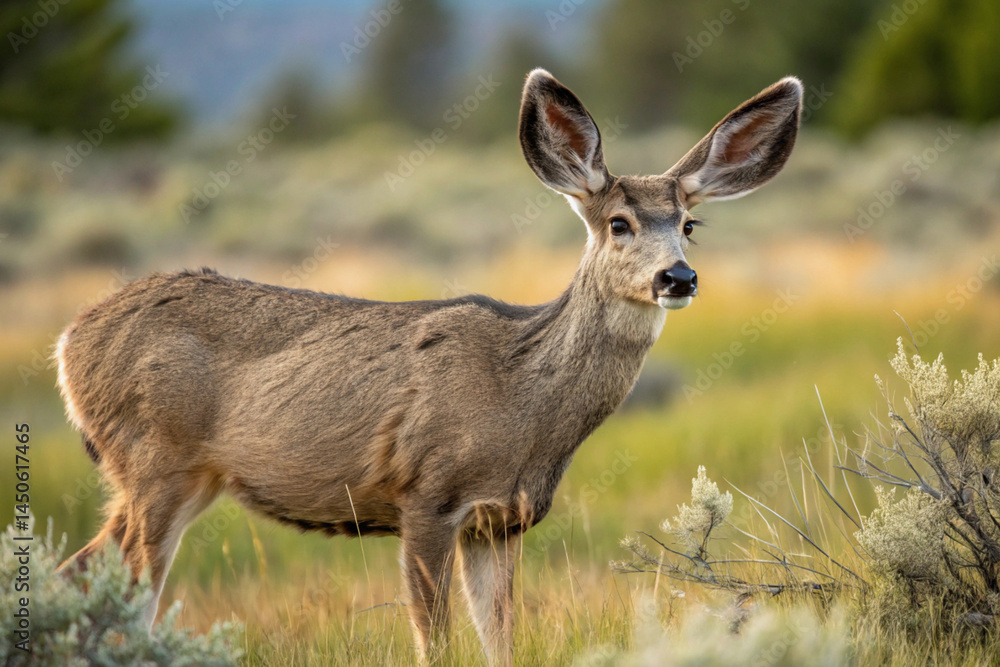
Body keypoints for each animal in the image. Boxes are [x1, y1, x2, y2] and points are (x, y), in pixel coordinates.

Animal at [55, 69, 802, 664]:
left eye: (689, 226)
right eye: (619, 223)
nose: (678, 277)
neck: (522, 404)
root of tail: (67, 341)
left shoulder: (501, 520)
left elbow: (501, 641)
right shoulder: (427, 494)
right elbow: (434, 641)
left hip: (175, 477)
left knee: (79, 570)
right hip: (154, 460)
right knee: (127, 593)